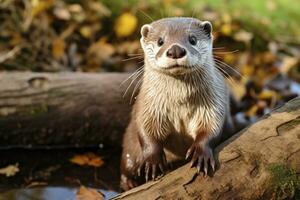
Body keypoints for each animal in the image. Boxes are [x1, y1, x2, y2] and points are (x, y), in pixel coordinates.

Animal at [120, 17, 233, 191]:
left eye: (192, 39)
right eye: (160, 41)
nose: (175, 50)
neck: (180, 103)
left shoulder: (214, 103)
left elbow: (212, 128)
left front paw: (201, 153)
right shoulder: (148, 105)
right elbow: (145, 129)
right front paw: (153, 161)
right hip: (130, 148)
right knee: (126, 166)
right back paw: (130, 183)